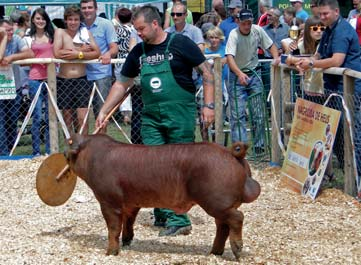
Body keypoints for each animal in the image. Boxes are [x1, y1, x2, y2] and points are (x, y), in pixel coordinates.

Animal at [66, 133, 260, 258]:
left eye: (70, 143)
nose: (63, 153)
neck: (94, 157)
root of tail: (231, 152)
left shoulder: (108, 200)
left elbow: (113, 227)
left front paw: (110, 253)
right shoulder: (132, 203)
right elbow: (129, 221)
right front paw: (127, 242)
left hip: (215, 200)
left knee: (237, 217)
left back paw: (237, 252)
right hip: (220, 203)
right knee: (223, 226)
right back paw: (214, 253)